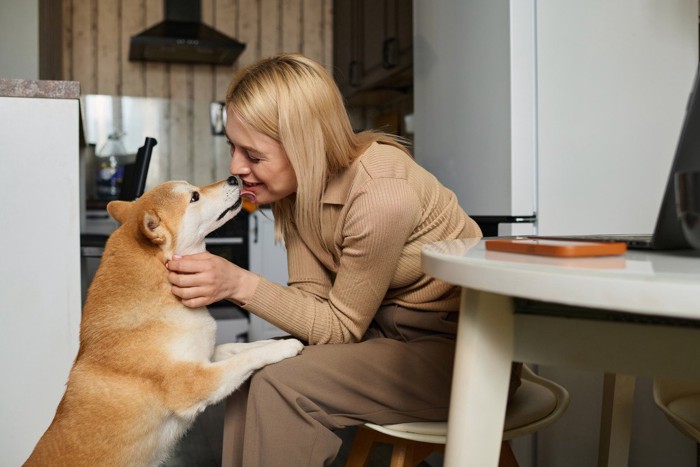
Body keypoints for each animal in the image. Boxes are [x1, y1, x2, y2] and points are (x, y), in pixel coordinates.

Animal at [23, 177, 304, 466]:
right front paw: (284, 347)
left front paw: (276, 340)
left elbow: (242, 348)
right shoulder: (192, 382)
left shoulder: (204, 355)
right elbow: (244, 359)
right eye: (194, 197)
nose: (234, 178)